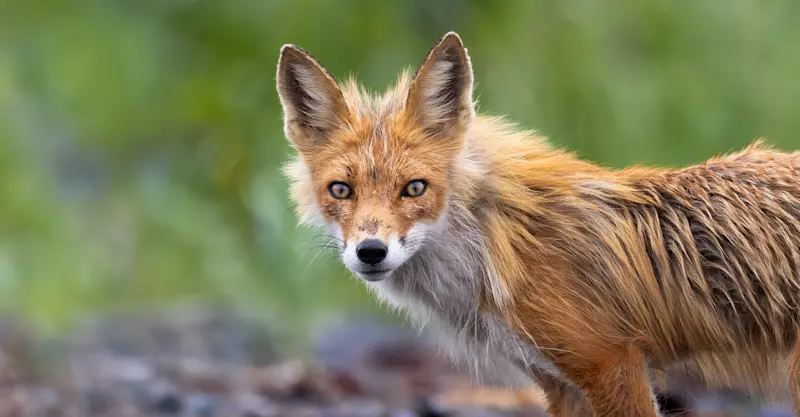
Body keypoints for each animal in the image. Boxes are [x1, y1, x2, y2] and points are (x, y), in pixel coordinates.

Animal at [276, 32, 800, 416]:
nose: (371, 252)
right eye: (340, 190)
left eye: (415, 188)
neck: (493, 241)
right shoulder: (560, 383)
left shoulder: (612, 363)